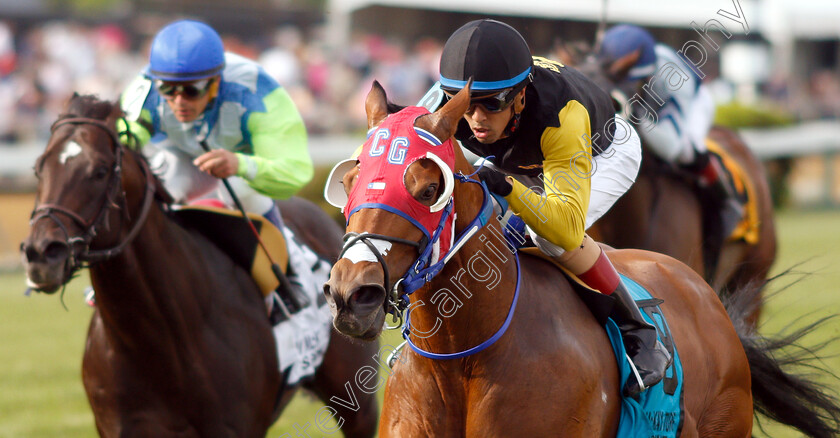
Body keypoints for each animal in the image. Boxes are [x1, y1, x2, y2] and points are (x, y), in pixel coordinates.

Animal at [324, 81, 840, 438]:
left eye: (429, 189)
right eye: (349, 182)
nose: (353, 294)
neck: (460, 360)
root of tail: (707, 298)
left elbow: (566, 228)